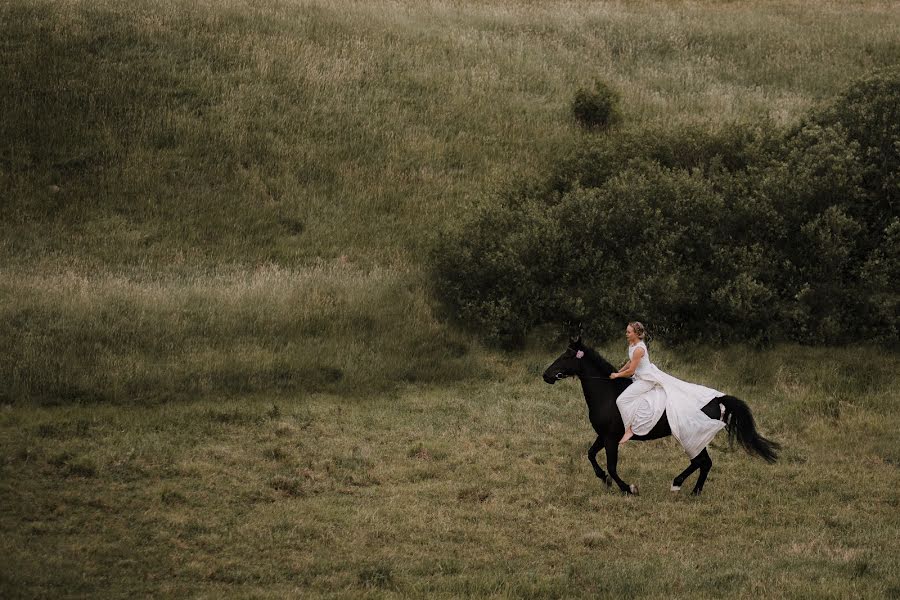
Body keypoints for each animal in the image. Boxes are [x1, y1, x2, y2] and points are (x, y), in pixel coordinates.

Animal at [540, 336, 780, 494]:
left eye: (566, 356)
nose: (546, 375)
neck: (607, 393)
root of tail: (717, 399)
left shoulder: (611, 438)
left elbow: (612, 466)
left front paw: (628, 488)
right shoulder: (603, 436)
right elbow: (591, 454)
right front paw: (605, 481)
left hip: (690, 436)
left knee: (701, 461)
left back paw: (680, 485)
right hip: (694, 437)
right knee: (704, 463)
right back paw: (692, 490)